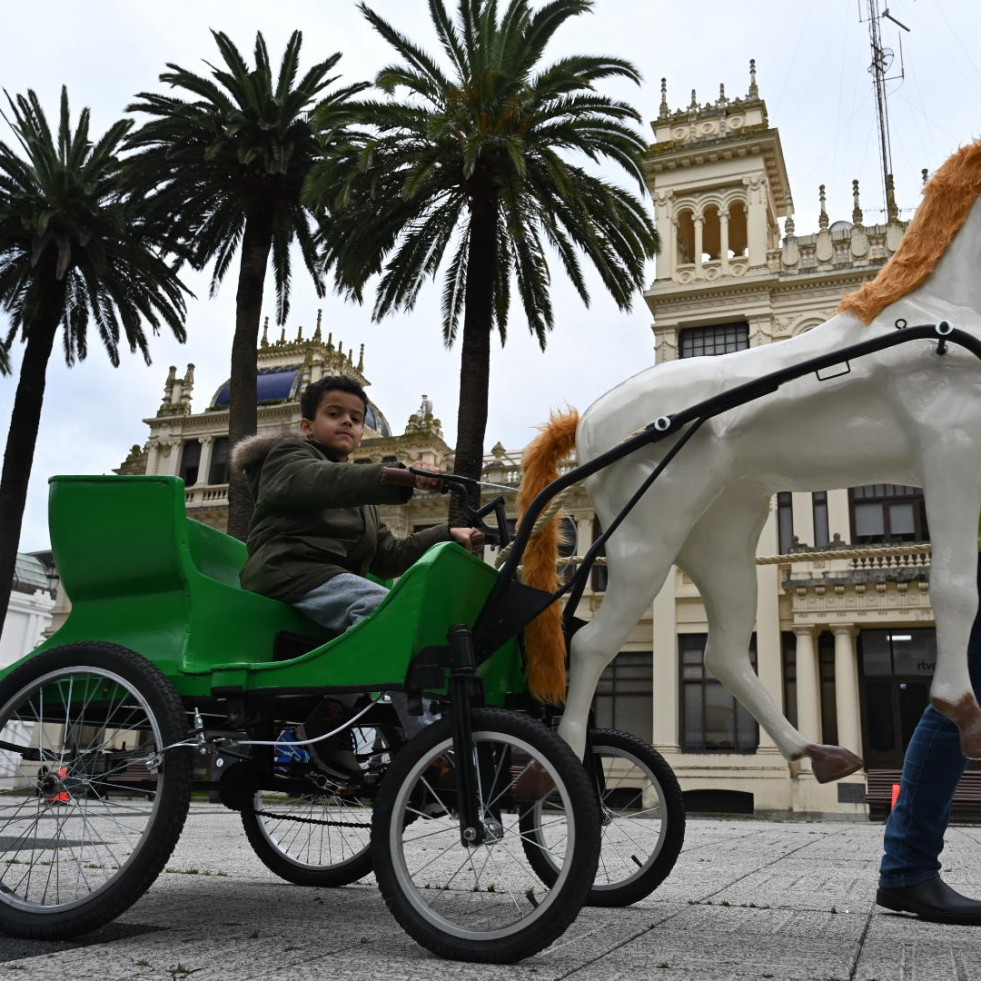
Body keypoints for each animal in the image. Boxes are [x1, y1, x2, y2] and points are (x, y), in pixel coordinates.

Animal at [524, 140, 981, 780]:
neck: (942, 312)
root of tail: (588, 417)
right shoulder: (950, 448)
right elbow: (956, 586)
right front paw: (961, 711)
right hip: (645, 541)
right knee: (590, 644)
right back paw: (564, 766)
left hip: (722, 536)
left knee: (722, 652)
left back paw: (813, 751)